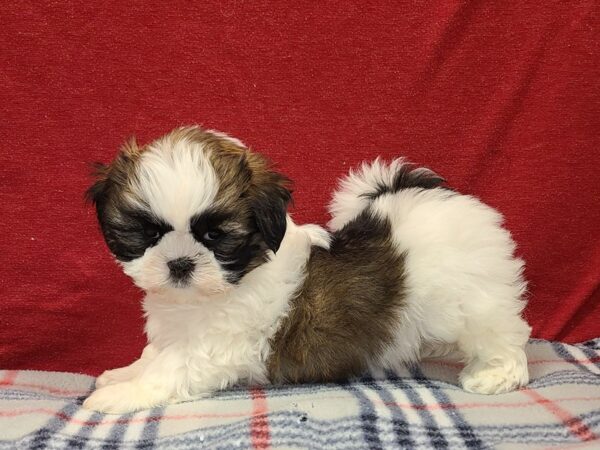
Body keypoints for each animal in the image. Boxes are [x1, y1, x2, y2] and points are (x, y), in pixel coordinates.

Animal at [83, 125, 528, 414]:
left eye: (215, 236)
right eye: (148, 233)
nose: (179, 263)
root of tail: (430, 194)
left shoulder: (217, 345)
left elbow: (168, 369)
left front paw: (121, 396)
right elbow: (154, 355)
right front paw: (122, 375)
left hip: (473, 299)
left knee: (502, 335)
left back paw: (497, 375)